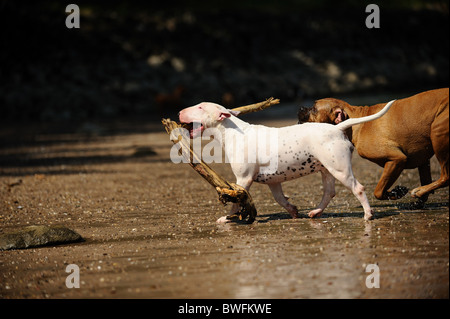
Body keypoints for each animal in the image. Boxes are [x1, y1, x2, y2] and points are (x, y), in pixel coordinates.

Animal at [298, 89, 448, 206]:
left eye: (314, 109)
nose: (300, 108)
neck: (357, 122)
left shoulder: (397, 159)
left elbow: (378, 191)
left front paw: (395, 193)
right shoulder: (423, 161)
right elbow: (424, 179)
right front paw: (413, 199)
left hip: (438, 136)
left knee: (445, 177)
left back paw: (419, 190)